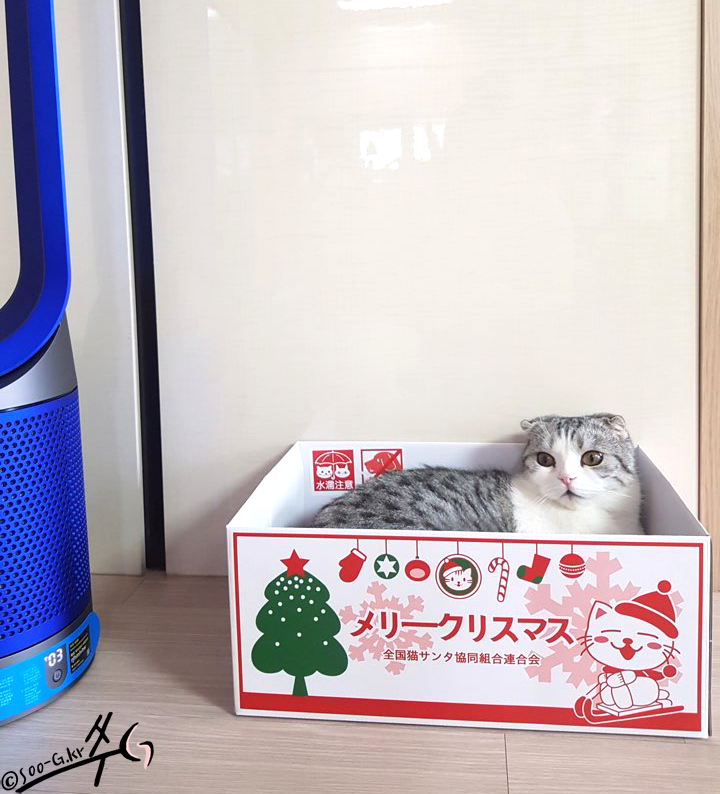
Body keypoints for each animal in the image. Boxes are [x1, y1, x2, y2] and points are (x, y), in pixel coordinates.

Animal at [581, 582, 677, 712]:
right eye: (614, 631)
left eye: (644, 635)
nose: (628, 639)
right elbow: (604, 678)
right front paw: (606, 678)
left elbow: (628, 676)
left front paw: (617, 679)